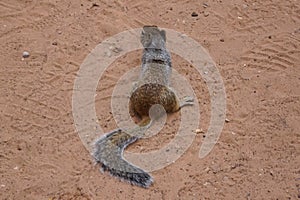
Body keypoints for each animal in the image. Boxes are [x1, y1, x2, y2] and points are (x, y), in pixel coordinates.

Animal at [92, 25, 193, 188]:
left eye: (152, 29)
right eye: (144, 32)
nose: (144, 27)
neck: (156, 48)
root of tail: (147, 112)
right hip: (169, 95)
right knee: (174, 107)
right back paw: (183, 101)